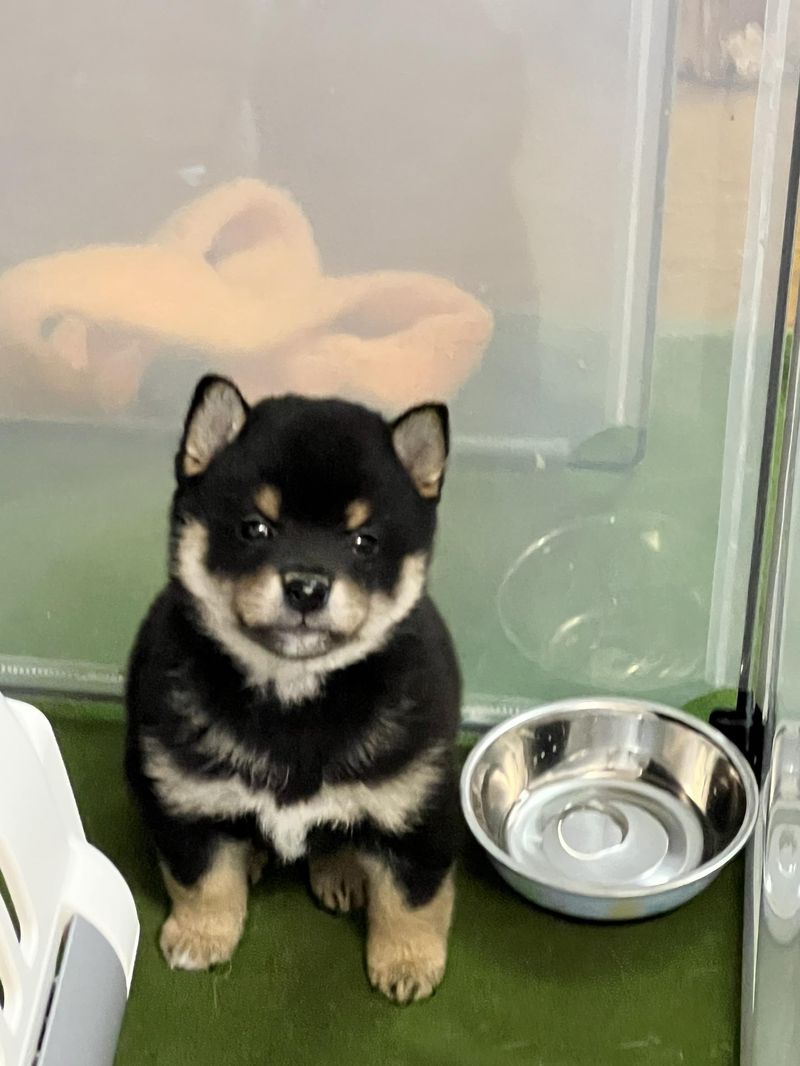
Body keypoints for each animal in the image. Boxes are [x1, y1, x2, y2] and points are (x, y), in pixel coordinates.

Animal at [124, 374, 461, 1003]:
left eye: (363, 541)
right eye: (256, 528)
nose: (307, 586)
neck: (295, 698)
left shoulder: (419, 808)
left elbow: (412, 899)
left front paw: (407, 962)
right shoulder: (181, 797)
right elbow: (202, 879)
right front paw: (202, 935)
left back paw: (343, 872)